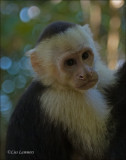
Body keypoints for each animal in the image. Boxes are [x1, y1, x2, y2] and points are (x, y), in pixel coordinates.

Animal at [5, 21, 125, 160]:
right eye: (70, 62)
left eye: (85, 56)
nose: (86, 74)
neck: (56, 85)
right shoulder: (61, 100)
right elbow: (106, 149)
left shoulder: (98, 71)